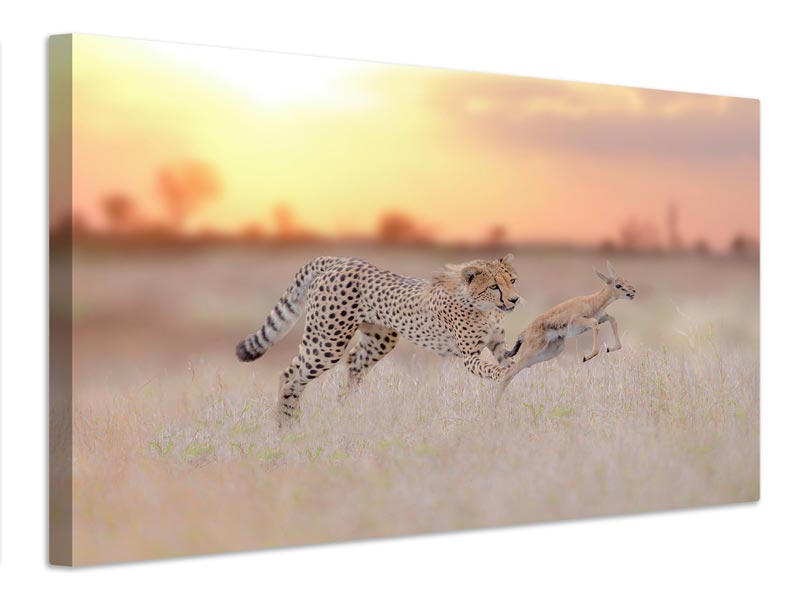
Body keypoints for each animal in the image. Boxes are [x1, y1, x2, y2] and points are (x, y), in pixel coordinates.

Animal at [235, 254, 521, 425]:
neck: (483, 306)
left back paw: (336, 413)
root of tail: (339, 260)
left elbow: (511, 359)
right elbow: (492, 369)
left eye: (513, 281)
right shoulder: (470, 357)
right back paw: (288, 426)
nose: (514, 299)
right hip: (329, 341)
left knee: (314, 367)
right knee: (293, 377)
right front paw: (506, 377)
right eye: (494, 286)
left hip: (375, 338)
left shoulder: (498, 345)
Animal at [498, 261, 636, 395]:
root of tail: (523, 334)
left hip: (548, 353)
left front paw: (609, 348)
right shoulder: (580, 322)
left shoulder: (602, 317)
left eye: (626, 280)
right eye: (618, 285)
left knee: (513, 372)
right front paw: (586, 357)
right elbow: (594, 325)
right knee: (508, 374)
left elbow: (613, 320)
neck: (592, 301)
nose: (633, 291)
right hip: (531, 352)